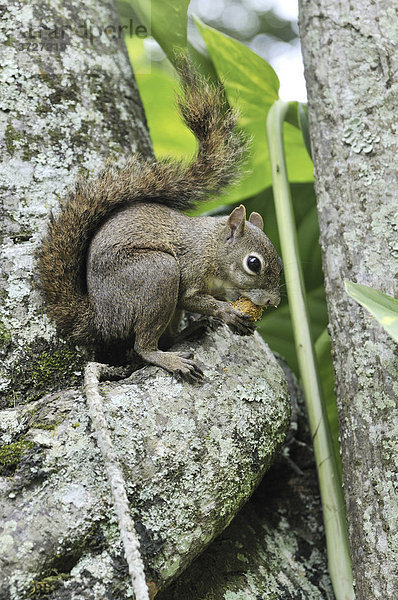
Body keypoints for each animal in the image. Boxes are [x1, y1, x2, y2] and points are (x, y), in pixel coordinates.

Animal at [36, 57, 280, 384]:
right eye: (254, 263)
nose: (272, 302)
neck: (212, 248)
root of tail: (100, 316)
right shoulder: (191, 269)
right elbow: (192, 298)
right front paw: (227, 313)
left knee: (165, 337)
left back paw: (190, 331)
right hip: (158, 274)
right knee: (143, 346)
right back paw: (169, 358)